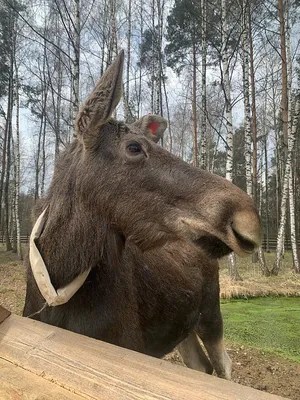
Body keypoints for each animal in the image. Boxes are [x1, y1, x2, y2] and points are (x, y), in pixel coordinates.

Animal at [24, 51, 262, 380]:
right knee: (201, 365)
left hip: (212, 315)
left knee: (223, 366)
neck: (59, 278)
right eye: (134, 147)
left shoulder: (131, 344)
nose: (247, 217)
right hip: (182, 326)